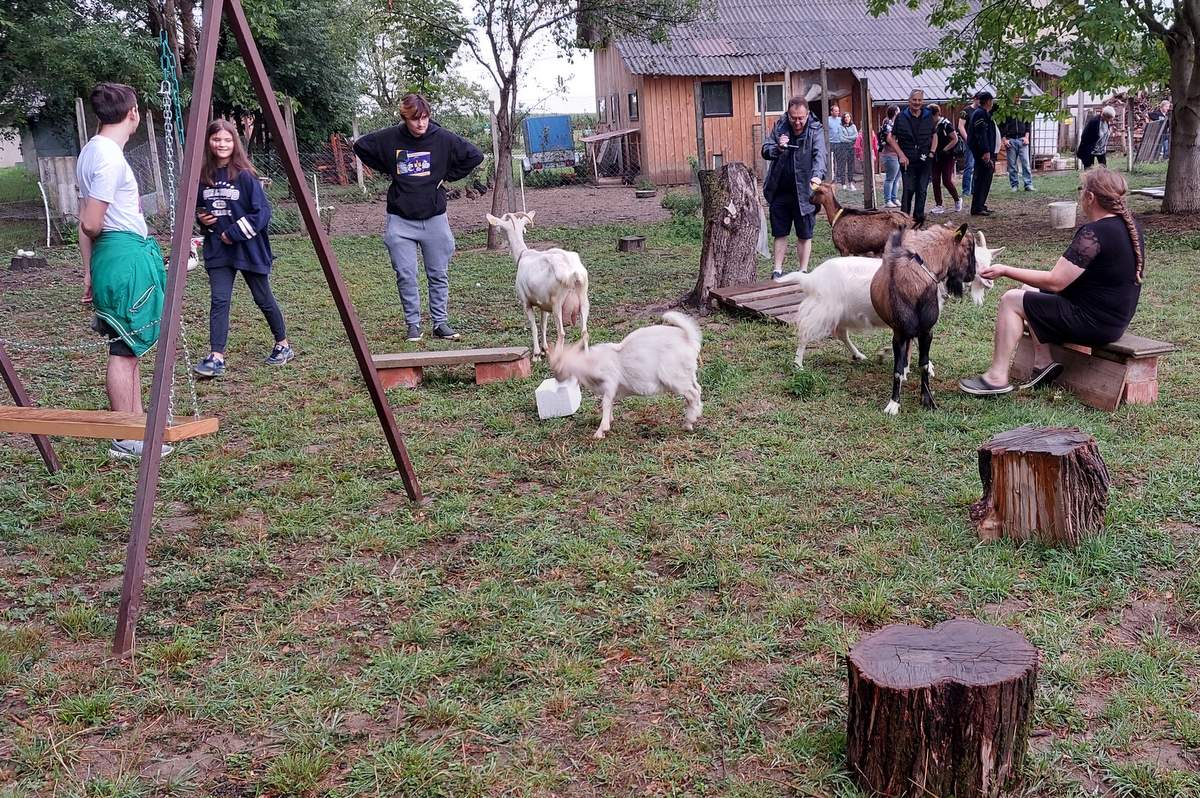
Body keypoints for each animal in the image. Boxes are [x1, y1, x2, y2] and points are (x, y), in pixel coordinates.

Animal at [482, 211, 585, 360]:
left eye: (501, 228)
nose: (497, 234)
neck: (523, 254)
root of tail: (573, 272)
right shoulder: (544, 304)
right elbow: (543, 325)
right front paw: (545, 349)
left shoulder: (526, 302)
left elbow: (534, 326)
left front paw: (536, 354)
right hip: (583, 299)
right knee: (584, 331)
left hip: (557, 303)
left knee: (561, 332)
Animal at [777, 229, 1003, 369]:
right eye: (973, 259)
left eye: (989, 261)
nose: (989, 282)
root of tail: (812, 278)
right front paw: (922, 366)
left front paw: (888, 354)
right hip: (823, 310)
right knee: (806, 332)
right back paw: (798, 364)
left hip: (840, 313)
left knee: (840, 333)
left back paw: (858, 355)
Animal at [868, 220, 979, 412]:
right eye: (968, 248)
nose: (972, 274)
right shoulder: (899, 333)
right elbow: (897, 369)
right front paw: (893, 403)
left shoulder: (927, 330)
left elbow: (924, 364)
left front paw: (927, 400)